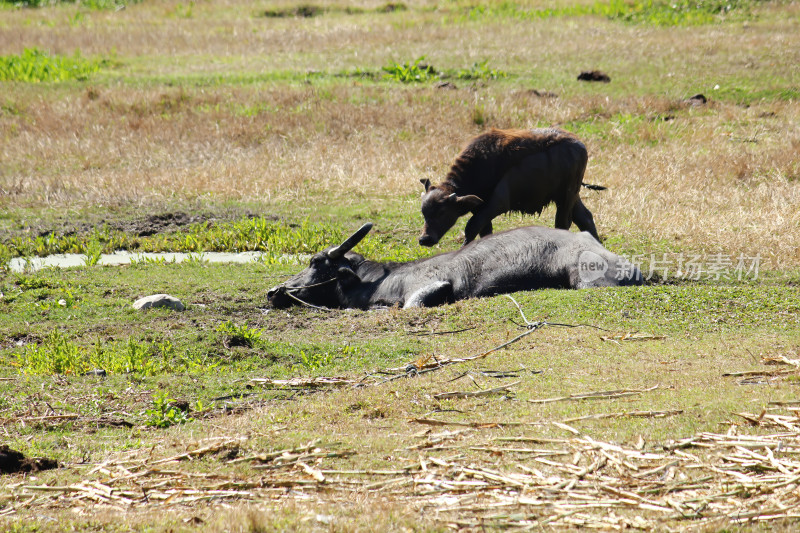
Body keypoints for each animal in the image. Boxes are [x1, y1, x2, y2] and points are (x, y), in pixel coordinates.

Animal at [418, 128, 600, 246]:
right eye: (424, 213)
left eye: (442, 212)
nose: (424, 239)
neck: (482, 167)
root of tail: (579, 145)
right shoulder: (481, 209)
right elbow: (484, 231)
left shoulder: (498, 204)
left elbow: (471, 226)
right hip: (571, 195)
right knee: (585, 218)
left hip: (566, 196)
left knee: (563, 223)